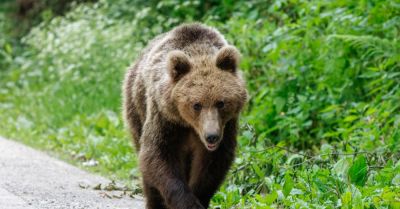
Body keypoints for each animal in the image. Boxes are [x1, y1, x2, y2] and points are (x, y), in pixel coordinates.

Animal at [122, 22, 247, 209]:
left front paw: (199, 197)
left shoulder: (227, 126)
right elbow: (157, 154)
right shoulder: (165, 118)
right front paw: (187, 202)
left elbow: (212, 165)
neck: (188, 125)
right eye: (196, 105)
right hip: (136, 107)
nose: (211, 136)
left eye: (221, 103)